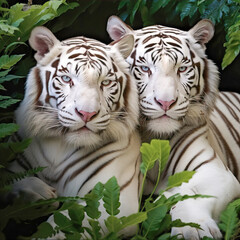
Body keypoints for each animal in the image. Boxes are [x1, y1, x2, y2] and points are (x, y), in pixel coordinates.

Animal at [8, 25, 141, 236]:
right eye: (66, 79)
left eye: (105, 82)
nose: (87, 114)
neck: (59, 146)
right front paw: (39, 196)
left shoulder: (113, 202)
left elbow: (65, 226)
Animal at [108, 15, 240, 239]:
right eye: (145, 69)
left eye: (182, 69)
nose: (166, 102)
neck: (153, 139)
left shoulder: (216, 171)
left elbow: (188, 193)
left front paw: (193, 228)